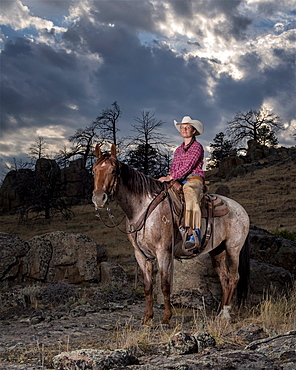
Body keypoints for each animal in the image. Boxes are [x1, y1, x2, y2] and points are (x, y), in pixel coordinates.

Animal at [92, 144, 250, 324]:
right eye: (94, 170)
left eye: (113, 171)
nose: (99, 198)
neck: (142, 208)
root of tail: (240, 209)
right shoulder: (141, 255)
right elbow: (148, 287)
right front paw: (147, 318)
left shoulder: (164, 252)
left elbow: (165, 284)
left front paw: (166, 318)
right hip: (218, 251)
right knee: (224, 279)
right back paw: (220, 314)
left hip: (233, 249)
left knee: (234, 278)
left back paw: (226, 314)